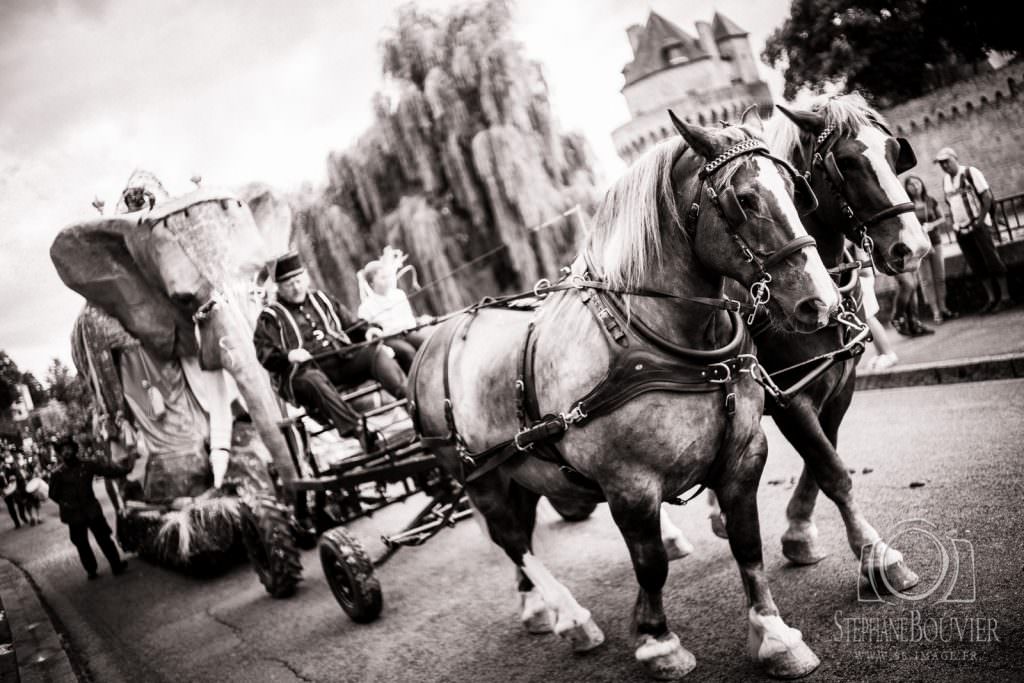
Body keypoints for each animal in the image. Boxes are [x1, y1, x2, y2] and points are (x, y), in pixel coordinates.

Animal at [407, 109, 839, 679]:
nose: (821, 302)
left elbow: (748, 542)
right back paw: (571, 616)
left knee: (520, 530)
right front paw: (659, 641)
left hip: (514, 464)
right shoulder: (629, 483)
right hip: (475, 476)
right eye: (744, 199)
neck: (659, 339)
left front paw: (775, 635)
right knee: (512, 539)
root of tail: (433, 336)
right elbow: (649, 563)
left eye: (795, 189)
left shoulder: (744, 456)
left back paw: (536, 605)